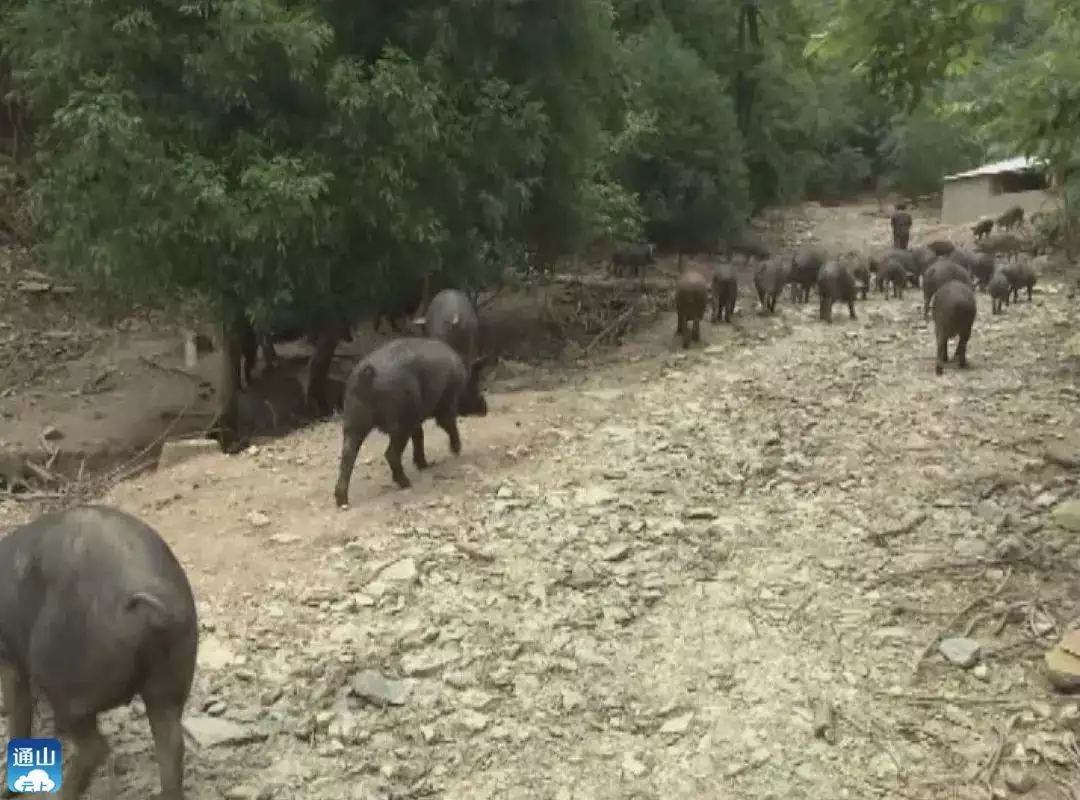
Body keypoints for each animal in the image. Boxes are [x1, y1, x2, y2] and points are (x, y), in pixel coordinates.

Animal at [0, 505, 198, 798]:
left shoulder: (9, 657)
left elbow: (17, 709)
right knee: (171, 742)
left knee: (95, 747)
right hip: (172, 678)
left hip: (65, 683)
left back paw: (59, 793)